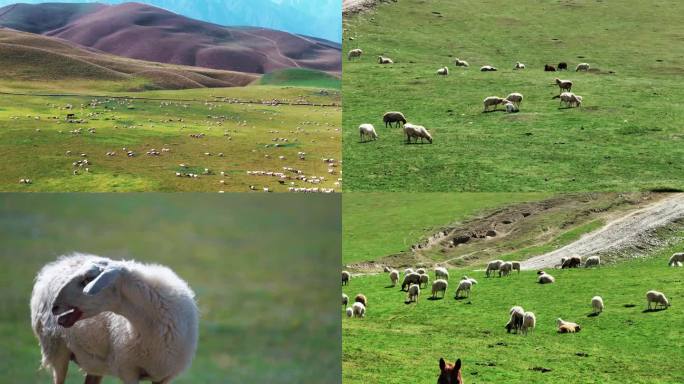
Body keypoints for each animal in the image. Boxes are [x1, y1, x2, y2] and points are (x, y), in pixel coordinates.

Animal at [32, 255, 198, 384]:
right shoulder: (129, 370)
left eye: (87, 280)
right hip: (56, 349)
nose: (54, 306)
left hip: (94, 364)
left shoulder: (163, 376)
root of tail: (58, 263)